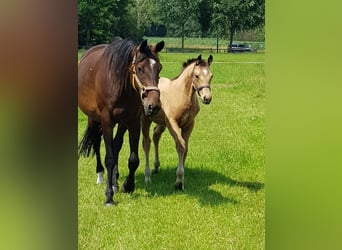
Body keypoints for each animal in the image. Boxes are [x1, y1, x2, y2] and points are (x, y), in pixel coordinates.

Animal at [79, 37, 164, 205]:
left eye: (159, 68)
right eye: (140, 68)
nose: (154, 106)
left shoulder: (133, 121)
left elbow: (133, 159)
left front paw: (128, 186)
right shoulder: (106, 121)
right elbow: (109, 158)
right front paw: (109, 196)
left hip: (122, 123)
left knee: (116, 145)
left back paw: (115, 182)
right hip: (93, 119)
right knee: (97, 143)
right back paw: (101, 176)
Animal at [141, 54, 211, 189]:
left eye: (211, 76)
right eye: (196, 76)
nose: (207, 98)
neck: (182, 95)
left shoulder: (189, 124)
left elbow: (186, 148)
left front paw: (181, 177)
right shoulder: (172, 124)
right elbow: (180, 145)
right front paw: (179, 181)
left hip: (161, 122)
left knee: (156, 136)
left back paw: (156, 166)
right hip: (146, 119)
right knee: (146, 143)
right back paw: (147, 176)